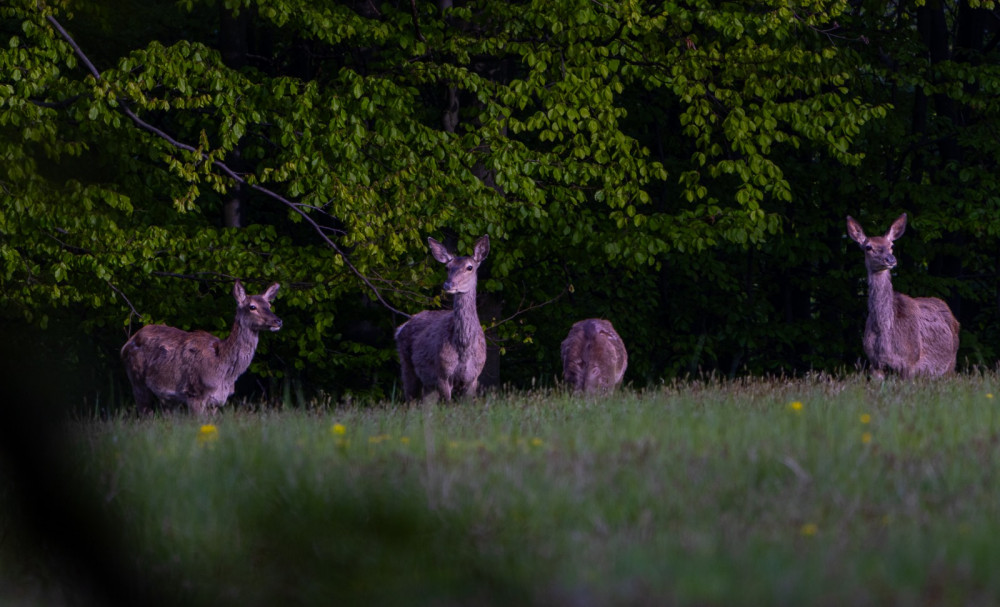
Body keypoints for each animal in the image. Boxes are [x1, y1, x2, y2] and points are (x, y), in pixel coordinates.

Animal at [124, 282, 286, 416]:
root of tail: (127, 343)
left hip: (167, 398)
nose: (278, 321)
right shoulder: (194, 393)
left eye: (269, 305)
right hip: (137, 381)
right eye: (252, 306)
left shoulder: (217, 401)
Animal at [398, 235, 492, 402]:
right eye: (447, 268)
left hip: (428, 384)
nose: (448, 284)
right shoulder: (442, 373)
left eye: (470, 267)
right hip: (407, 366)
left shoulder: (473, 377)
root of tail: (401, 328)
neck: (464, 348)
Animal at [844, 211, 960, 378]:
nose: (890, 259)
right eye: (868, 247)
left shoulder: (910, 362)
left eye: (891, 245)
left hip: (950, 364)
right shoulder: (875, 363)